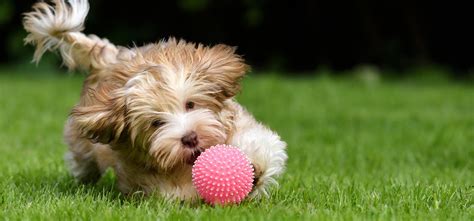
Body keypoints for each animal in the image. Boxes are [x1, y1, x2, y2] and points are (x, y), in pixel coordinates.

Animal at [24, 0, 286, 200]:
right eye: (156, 123)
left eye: (190, 104)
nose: (190, 138)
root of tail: (107, 60)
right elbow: (172, 191)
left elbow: (261, 143)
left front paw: (254, 169)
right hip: (82, 144)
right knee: (83, 161)